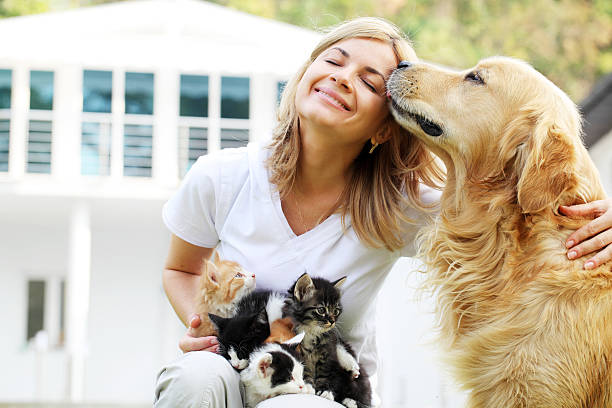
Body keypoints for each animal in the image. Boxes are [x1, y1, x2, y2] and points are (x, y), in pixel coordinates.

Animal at [284, 272, 372, 408]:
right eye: (321, 310)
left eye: (336, 311)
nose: (332, 321)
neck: (311, 332)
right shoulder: (300, 351)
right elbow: (305, 369)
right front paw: (309, 386)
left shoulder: (328, 352)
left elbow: (325, 372)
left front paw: (325, 391)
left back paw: (351, 401)